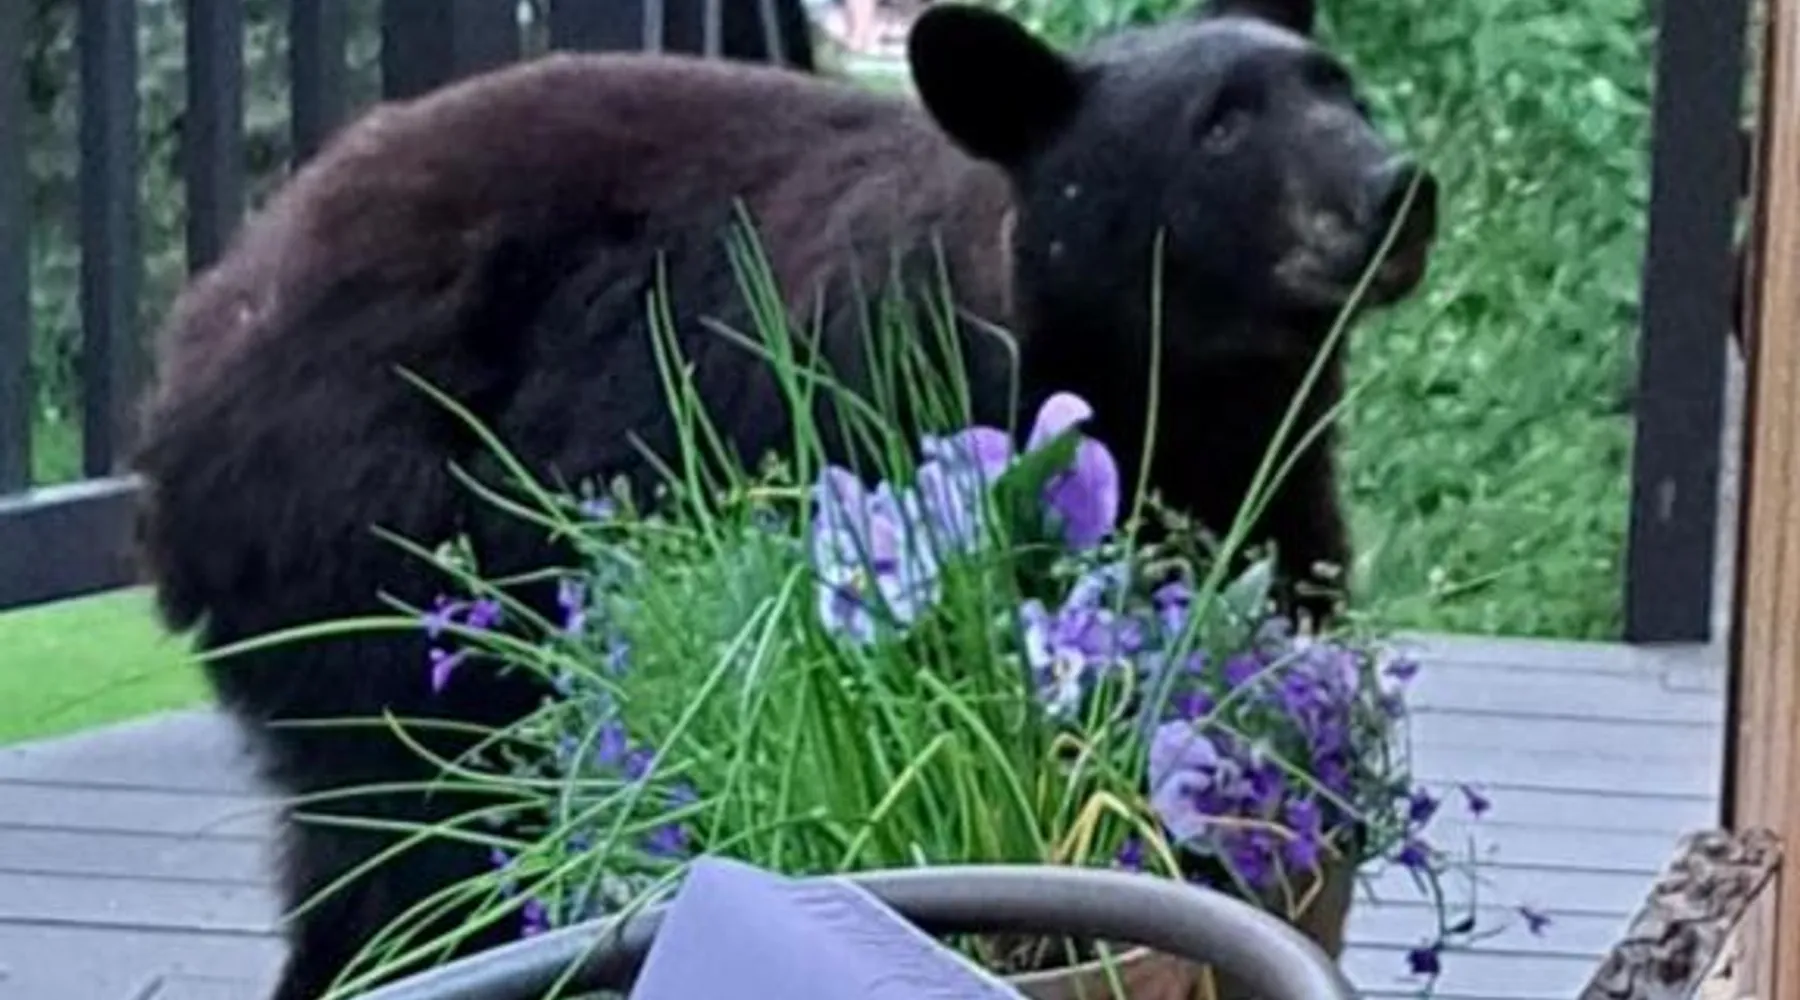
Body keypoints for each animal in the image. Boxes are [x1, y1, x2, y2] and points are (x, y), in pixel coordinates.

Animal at [130, 2, 1438, 997]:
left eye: (1347, 93)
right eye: (1219, 124)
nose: (1397, 187)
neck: (1187, 391)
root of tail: (199, 332)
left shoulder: (1267, 492)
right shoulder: (906, 427)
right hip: (373, 545)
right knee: (414, 840)